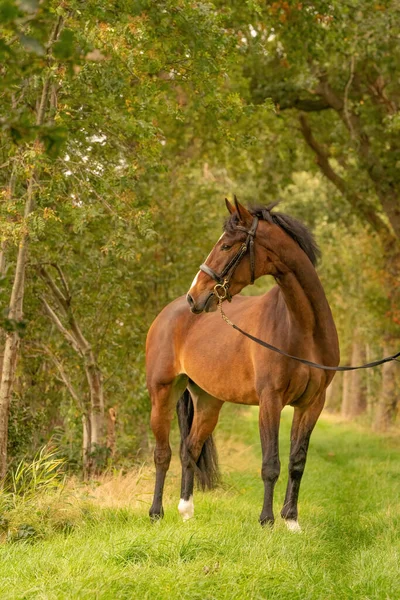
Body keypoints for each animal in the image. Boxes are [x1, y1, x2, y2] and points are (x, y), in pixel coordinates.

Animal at [145, 197, 340, 528]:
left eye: (226, 245)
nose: (194, 297)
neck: (303, 329)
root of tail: (168, 313)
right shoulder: (270, 400)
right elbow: (270, 464)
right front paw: (267, 521)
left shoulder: (312, 403)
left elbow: (297, 461)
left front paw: (291, 521)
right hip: (162, 393)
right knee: (163, 453)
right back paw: (156, 513)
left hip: (208, 402)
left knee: (190, 450)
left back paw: (186, 511)